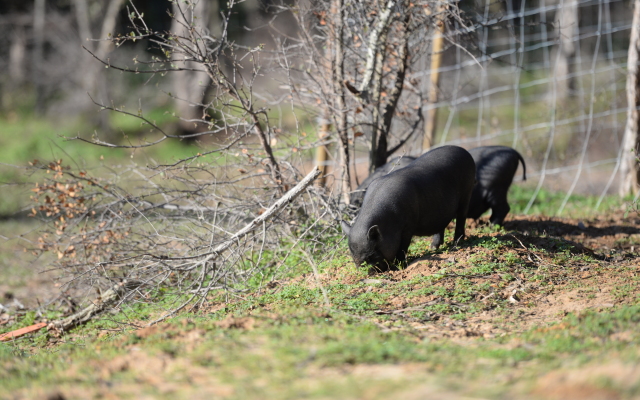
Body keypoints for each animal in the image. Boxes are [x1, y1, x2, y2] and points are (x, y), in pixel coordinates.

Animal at [340, 145, 476, 274]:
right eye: (353, 256)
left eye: (372, 255)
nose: (370, 273)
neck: (387, 224)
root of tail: (465, 152)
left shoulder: (408, 227)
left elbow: (403, 247)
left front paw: (399, 265)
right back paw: (433, 248)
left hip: (467, 192)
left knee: (461, 217)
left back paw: (455, 245)